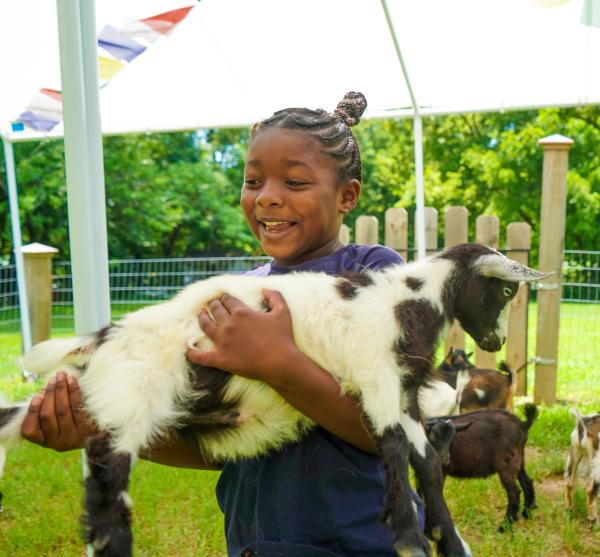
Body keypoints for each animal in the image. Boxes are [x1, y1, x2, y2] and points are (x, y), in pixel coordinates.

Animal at [0, 244, 552, 556]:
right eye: (505, 292)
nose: (498, 342)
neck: (410, 297)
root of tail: (103, 336)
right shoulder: (376, 375)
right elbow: (395, 451)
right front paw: (410, 539)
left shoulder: (405, 394)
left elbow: (429, 465)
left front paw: (448, 541)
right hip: (134, 394)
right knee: (106, 479)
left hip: (105, 392)